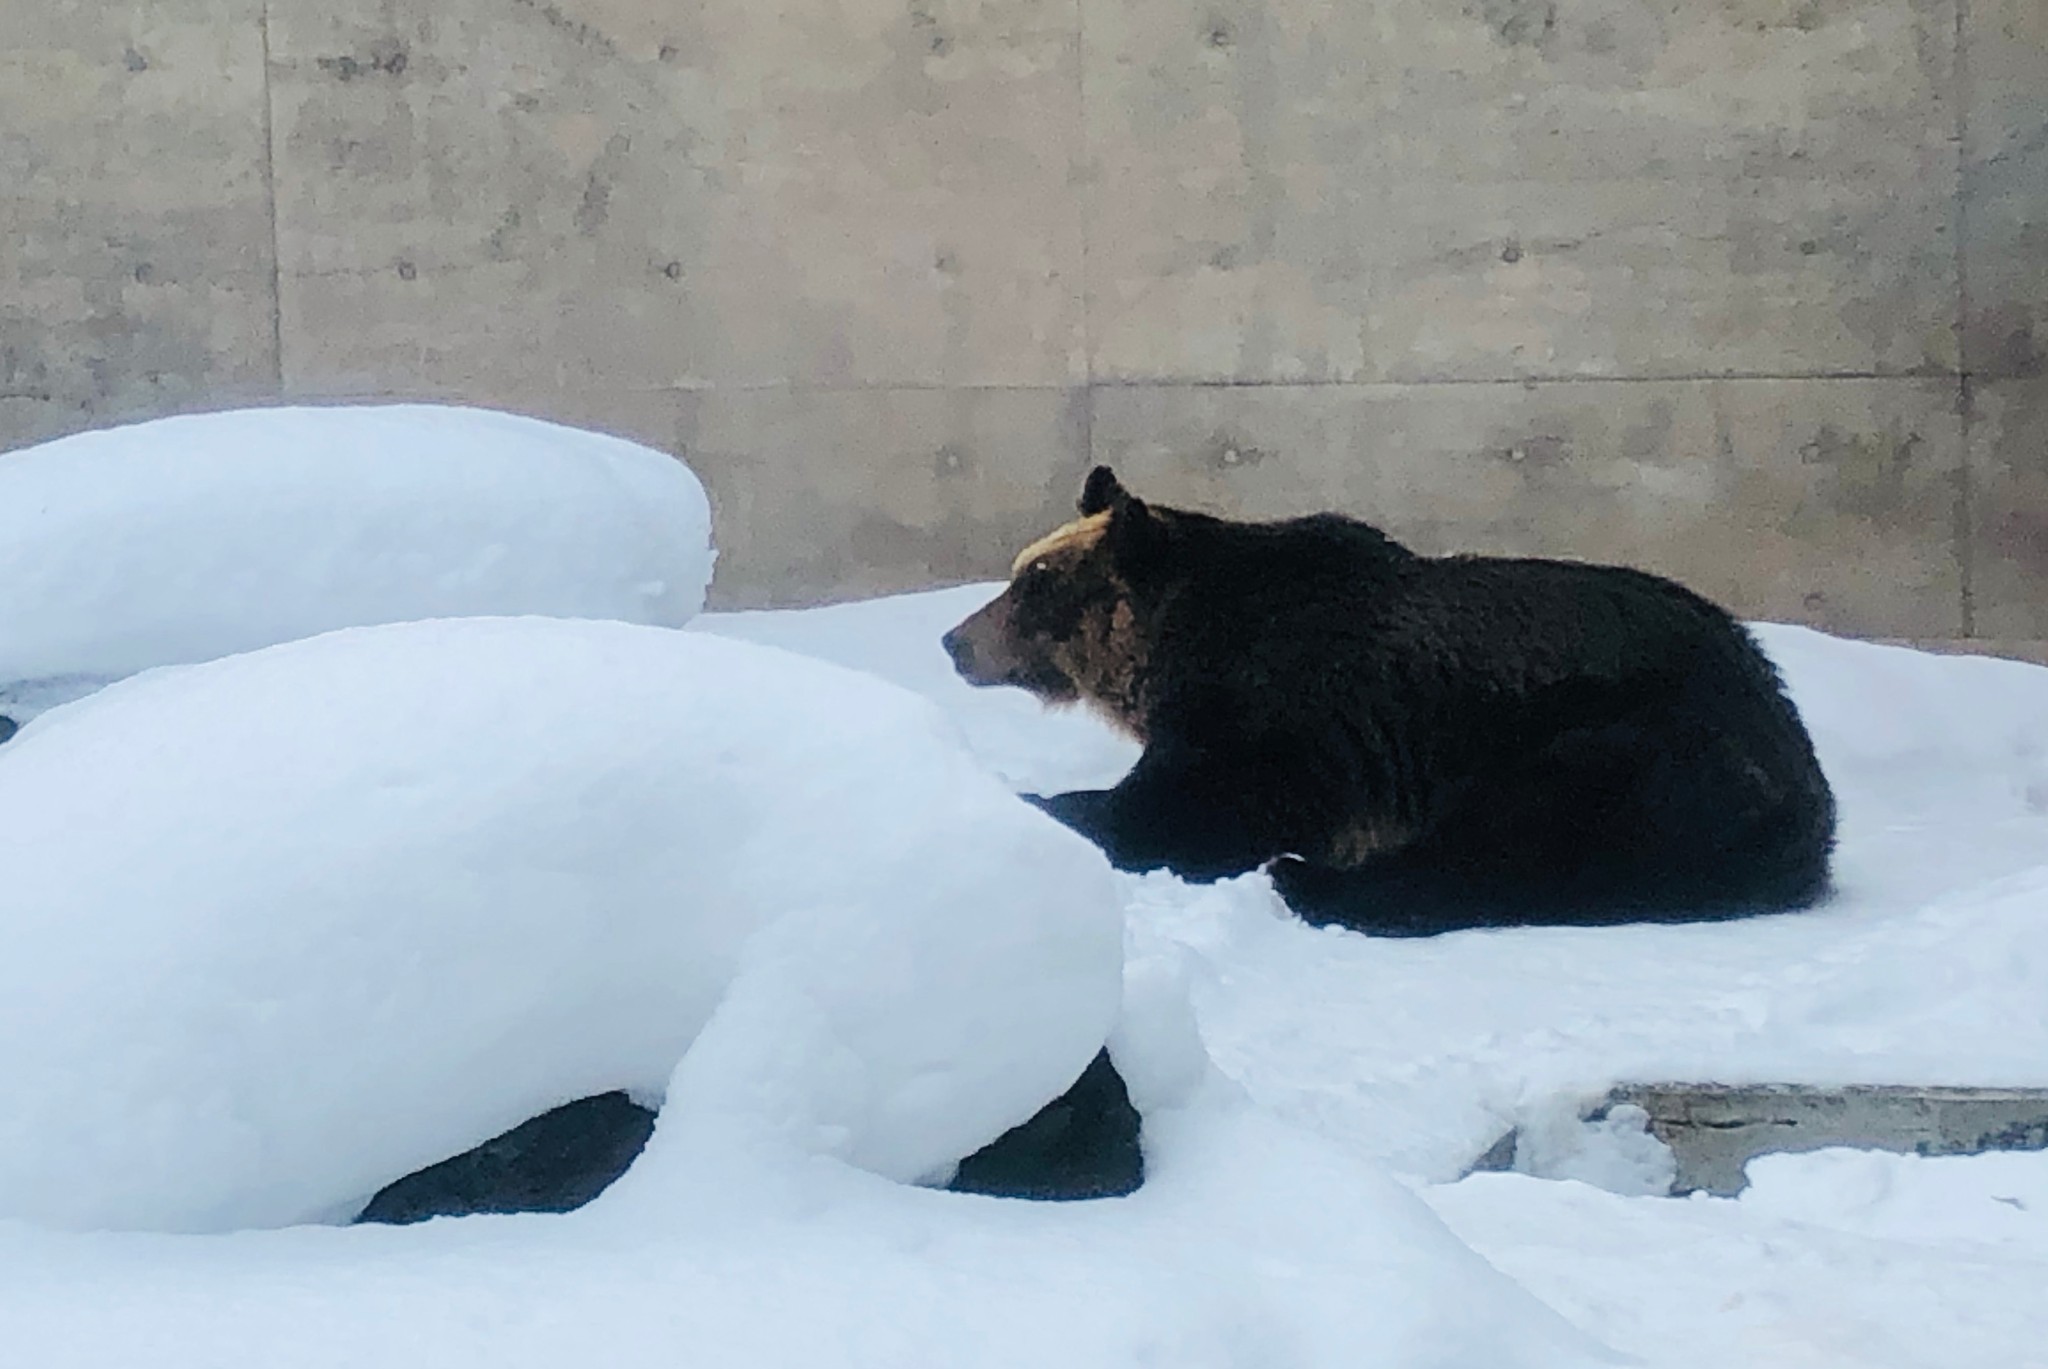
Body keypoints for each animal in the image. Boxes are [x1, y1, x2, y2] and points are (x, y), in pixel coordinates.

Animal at [942, 465, 1843, 934]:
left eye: (1034, 581)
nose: (954, 640)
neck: (1186, 644)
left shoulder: (1281, 720)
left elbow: (1180, 816)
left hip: (1625, 736)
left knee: (1513, 838)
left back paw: (1312, 882)